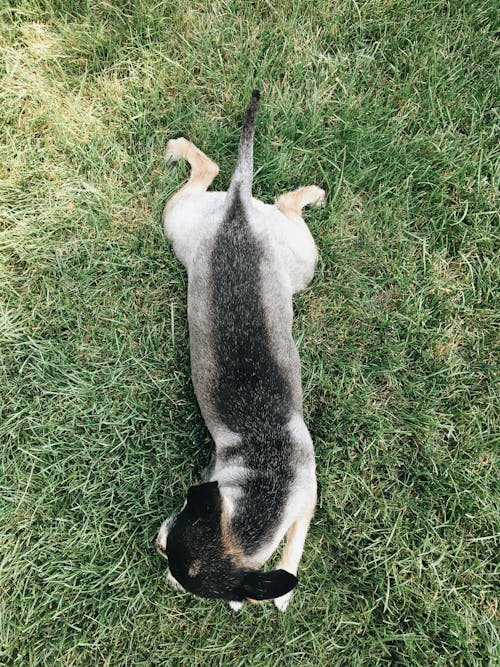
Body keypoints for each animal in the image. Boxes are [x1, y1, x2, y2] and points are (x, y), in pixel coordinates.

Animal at [155, 91, 324, 612]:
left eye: (169, 546)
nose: (156, 547)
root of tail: (237, 207)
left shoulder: (306, 505)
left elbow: (294, 544)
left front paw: (281, 590)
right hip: (201, 226)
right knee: (230, 179)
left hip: (286, 255)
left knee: (230, 178)